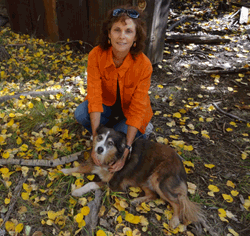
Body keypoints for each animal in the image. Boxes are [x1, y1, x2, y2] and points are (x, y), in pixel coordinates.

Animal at [61, 125, 204, 229]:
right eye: (100, 137)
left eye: (111, 143)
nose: (99, 149)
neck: (112, 157)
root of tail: (181, 165)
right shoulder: (94, 165)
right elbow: (79, 168)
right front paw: (63, 170)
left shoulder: (114, 185)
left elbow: (90, 183)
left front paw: (78, 191)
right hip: (143, 179)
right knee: (153, 195)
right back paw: (137, 200)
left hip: (158, 180)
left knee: (178, 202)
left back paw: (174, 220)